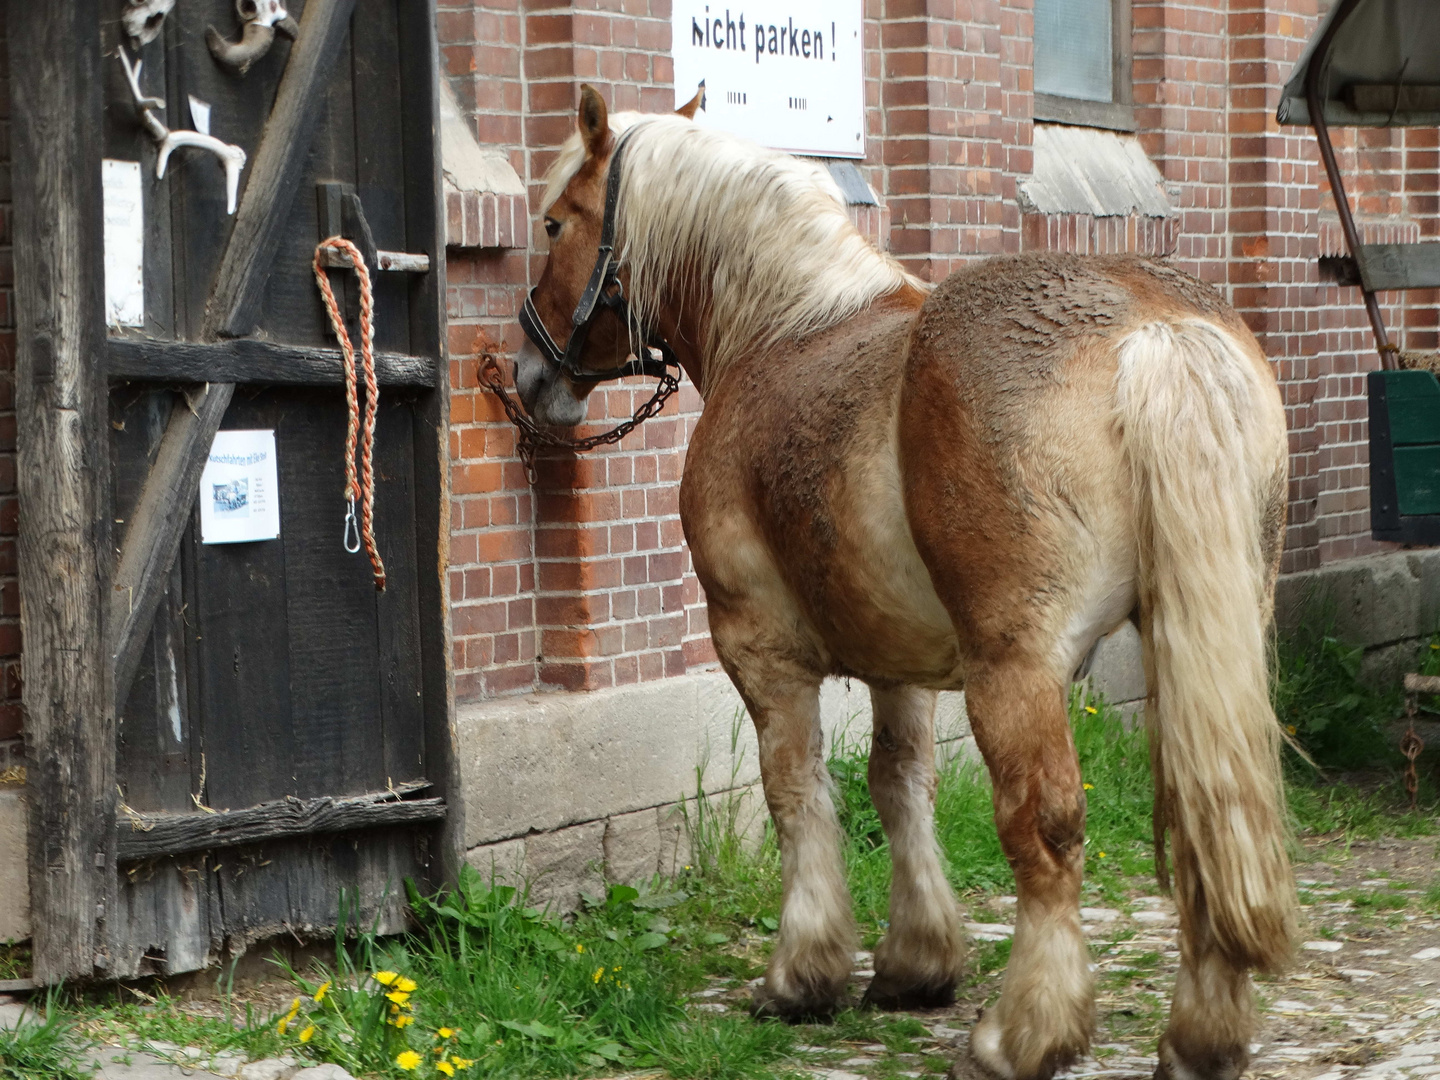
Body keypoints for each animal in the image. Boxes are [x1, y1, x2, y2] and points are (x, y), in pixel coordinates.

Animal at [512, 86, 1301, 1080]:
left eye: (554, 223)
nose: (529, 374)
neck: (786, 325)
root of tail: (1153, 326)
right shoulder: (902, 659)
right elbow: (901, 782)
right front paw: (916, 961)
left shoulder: (759, 647)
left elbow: (796, 790)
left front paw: (802, 973)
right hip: (1200, 642)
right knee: (1208, 810)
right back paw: (1202, 1037)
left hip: (1017, 671)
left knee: (1046, 831)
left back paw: (1022, 1035)